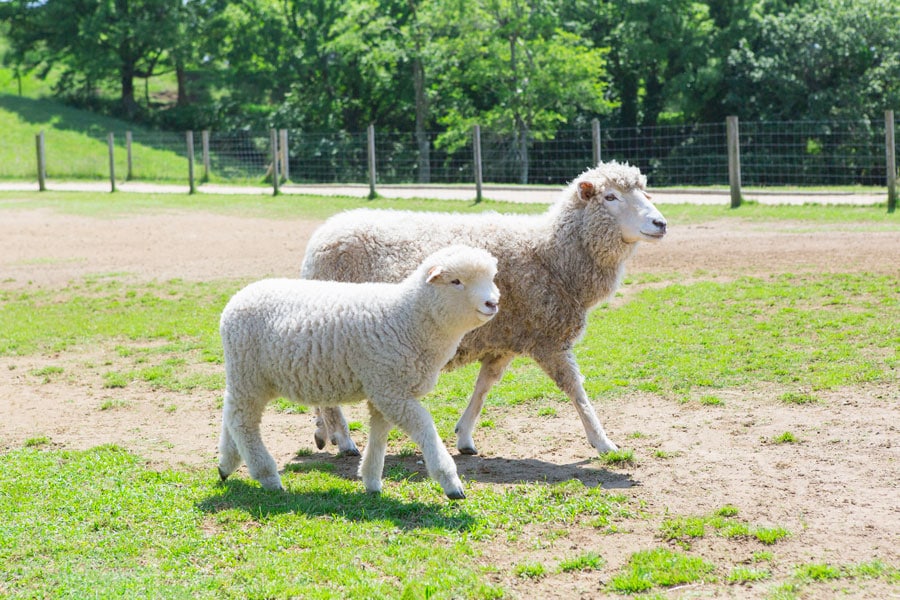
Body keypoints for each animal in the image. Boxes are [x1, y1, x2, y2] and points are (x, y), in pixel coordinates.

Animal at [218, 241, 500, 500]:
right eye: (456, 281)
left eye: (491, 278)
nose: (493, 303)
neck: (408, 318)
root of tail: (238, 297)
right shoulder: (391, 390)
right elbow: (425, 429)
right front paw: (451, 483)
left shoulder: (383, 392)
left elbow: (379, 435)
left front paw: (372, 481)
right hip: (249, 372)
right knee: (242, 421)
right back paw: (267, 476)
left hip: (250, 376)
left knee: (230, 413)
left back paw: (226, 465)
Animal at [302, 162, 668, 458]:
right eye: (610, 197)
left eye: (645, 192)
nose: (660, 223)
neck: (551, 254)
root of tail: (321, 237)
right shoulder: (549, 339)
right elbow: (575, 389)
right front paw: (604, 442)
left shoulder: (505, 338)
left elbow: (484, 386)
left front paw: (464, 436)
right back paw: (344, 440)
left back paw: (325, 432)